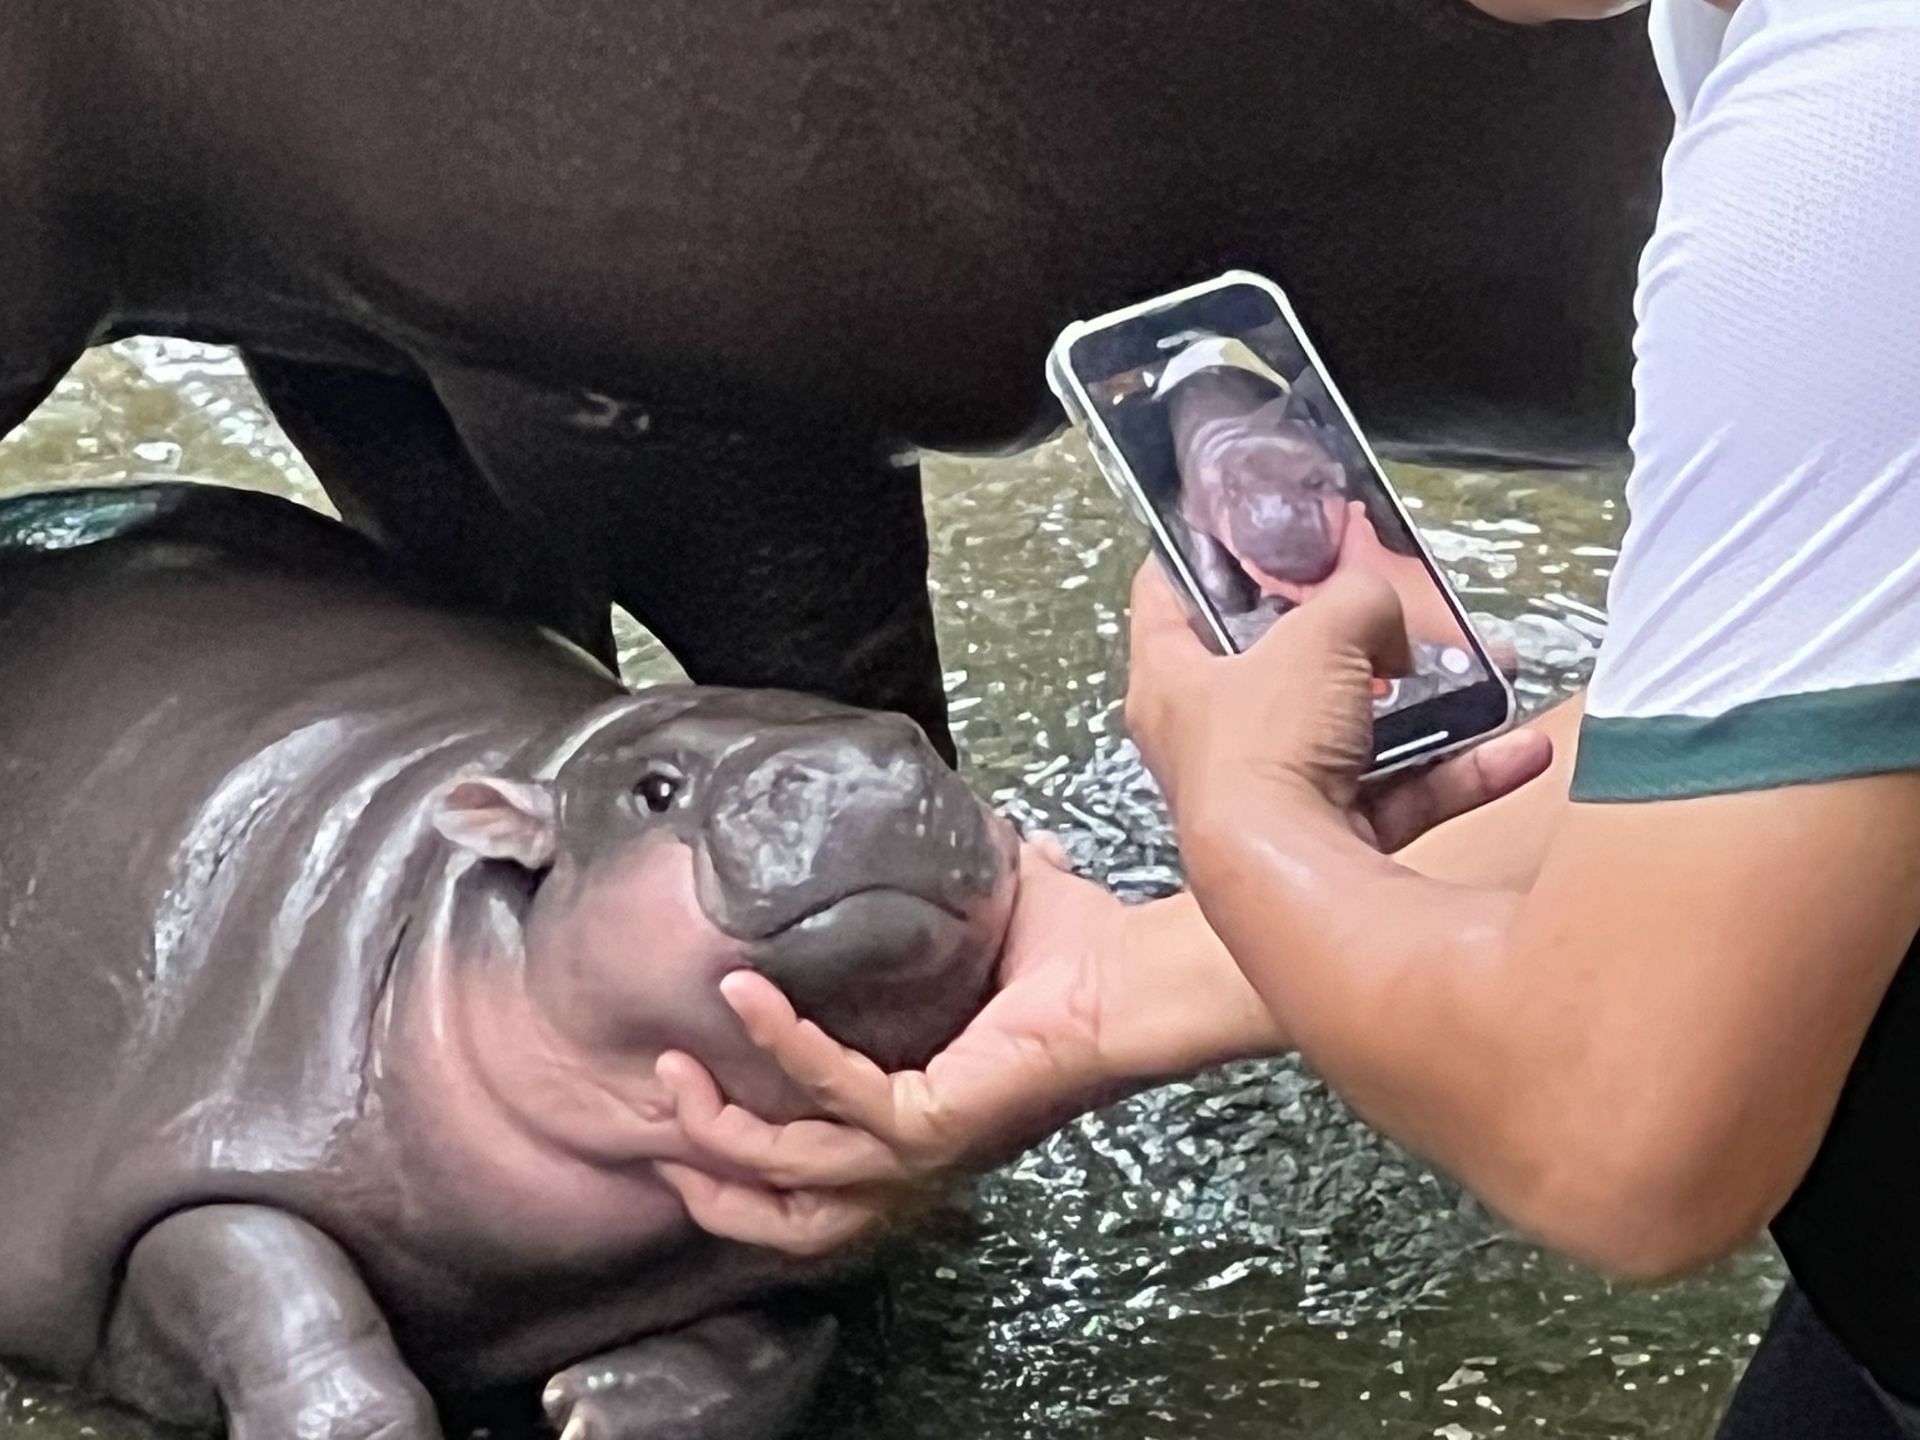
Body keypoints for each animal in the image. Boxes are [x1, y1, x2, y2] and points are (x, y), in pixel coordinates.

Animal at [0, 485, 1021, 1440]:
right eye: (656, 789)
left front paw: (596, 1404)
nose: (862, 770)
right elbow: (285, 1303)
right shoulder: (223, 1132)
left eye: (914, 737)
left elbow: (778, 1340)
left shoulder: (820, 1240)